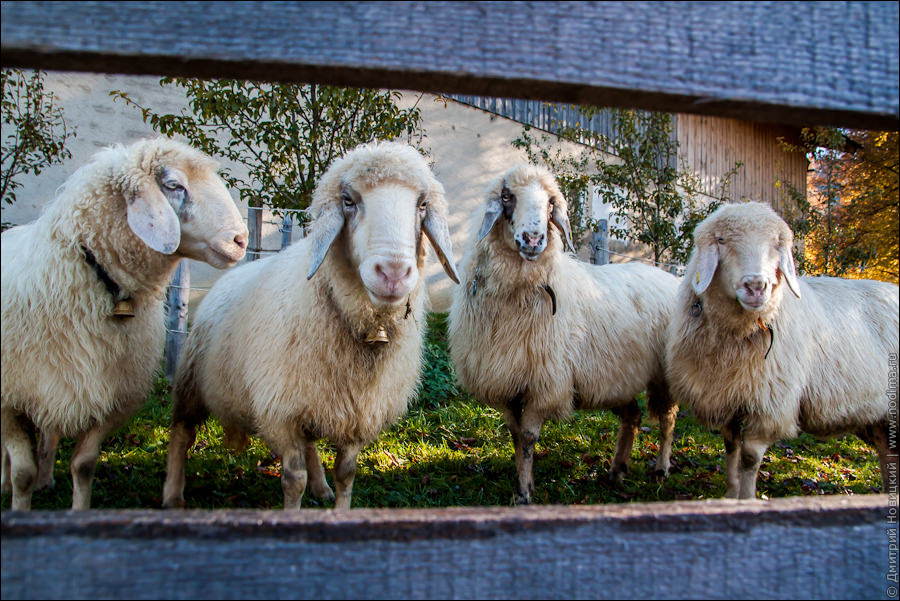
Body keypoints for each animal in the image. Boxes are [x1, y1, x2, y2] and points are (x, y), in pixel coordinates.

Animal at [0, 138, 248, 510]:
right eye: (173, 185)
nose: (241, 240)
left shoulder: (110, 396)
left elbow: (83, 465)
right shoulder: (10, 399)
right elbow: (21, 473)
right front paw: (18, 501)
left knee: (50, 432)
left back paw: (45, 479)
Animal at [161, 141, 460, 510]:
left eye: (422, 205)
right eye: (348, 200)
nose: (392, 273)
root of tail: (228, 277)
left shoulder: (355, 412)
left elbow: (346, 474)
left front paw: (339, 507)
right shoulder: (281, 412)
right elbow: (293, 480)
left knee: (310, 446)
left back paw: (321, 487)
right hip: (192, 378)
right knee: (181, 432)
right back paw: (173, 494)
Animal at [447, 163, 680, 504]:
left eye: (550, 203)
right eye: (507, 196)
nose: (533, 239)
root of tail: (666, 276)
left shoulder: (544, 384)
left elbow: (528, 436)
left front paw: (525, 492)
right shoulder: (503, 382)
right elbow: (515, 436)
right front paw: (522, 482)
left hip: (663, 375)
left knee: (667, 419)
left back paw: (661, 468)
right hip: (615, 378)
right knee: (633, 416)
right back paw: (617, 471)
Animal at [665, 201, 899, 499]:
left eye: (777, 244)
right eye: (722, 240)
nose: (756, 286)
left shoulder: (768, 405)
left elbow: (749, 458)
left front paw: (747, 499)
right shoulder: (729, 398)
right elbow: (731, 449)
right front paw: (731, 495)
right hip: (880, 419)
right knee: (888, 454)